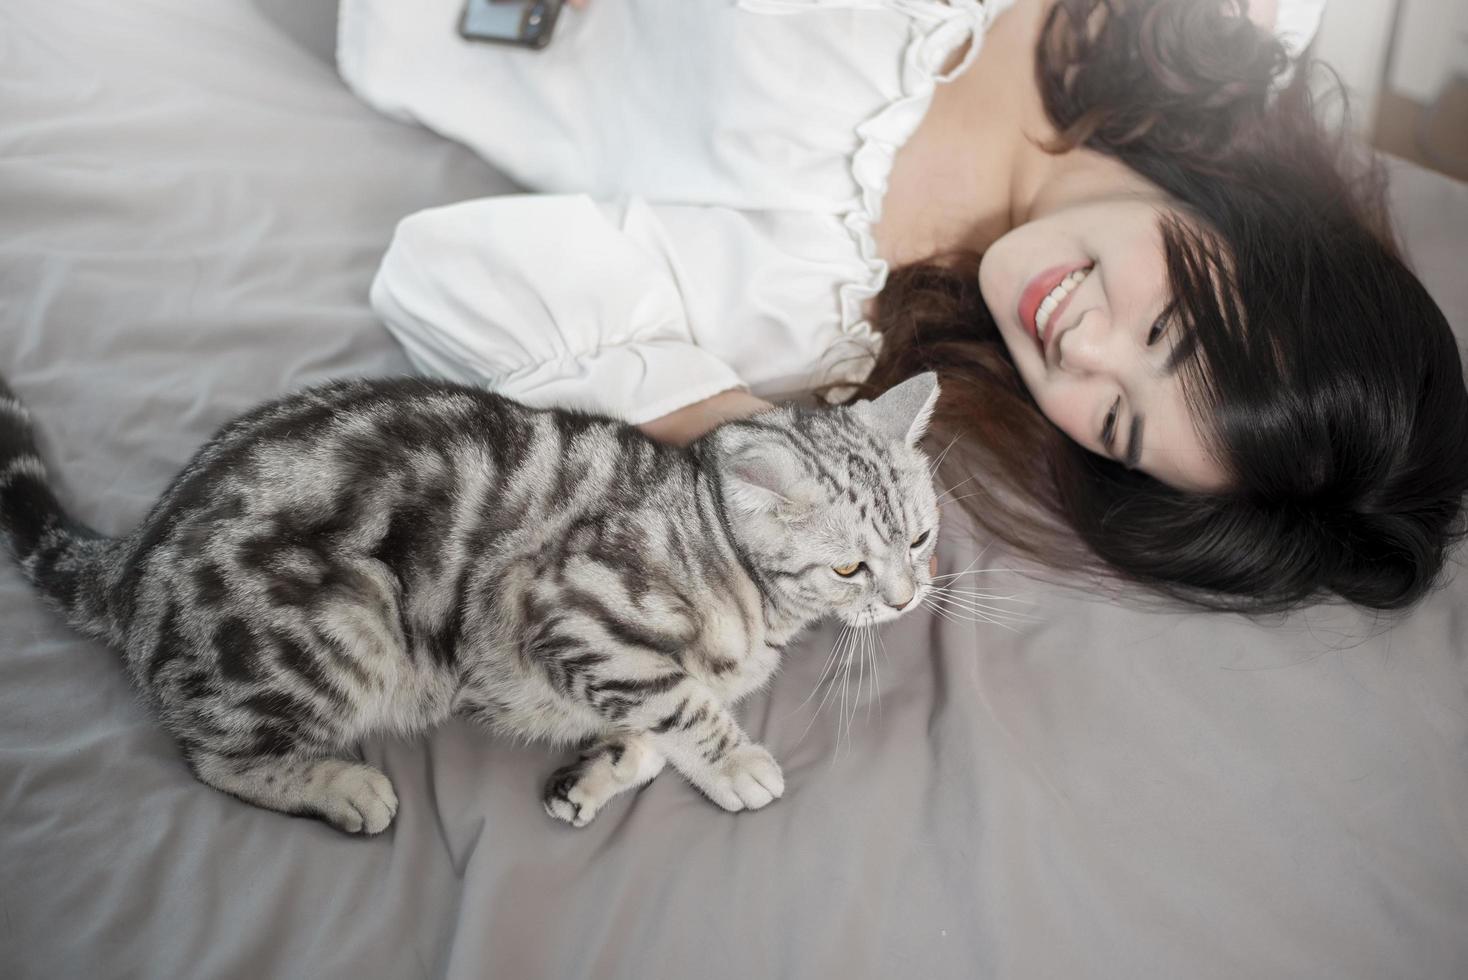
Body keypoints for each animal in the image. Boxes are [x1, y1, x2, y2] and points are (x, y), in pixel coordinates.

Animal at [0, 371, 939, 833]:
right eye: (851, 568)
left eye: (923, 540)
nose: (906, 599)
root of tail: (134, 552)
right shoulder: (571, 608)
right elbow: (679, 704)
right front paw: (735, 761)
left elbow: (656, 723)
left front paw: (597, 773)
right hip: (337, 633)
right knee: (215, 759)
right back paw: (345, 788)